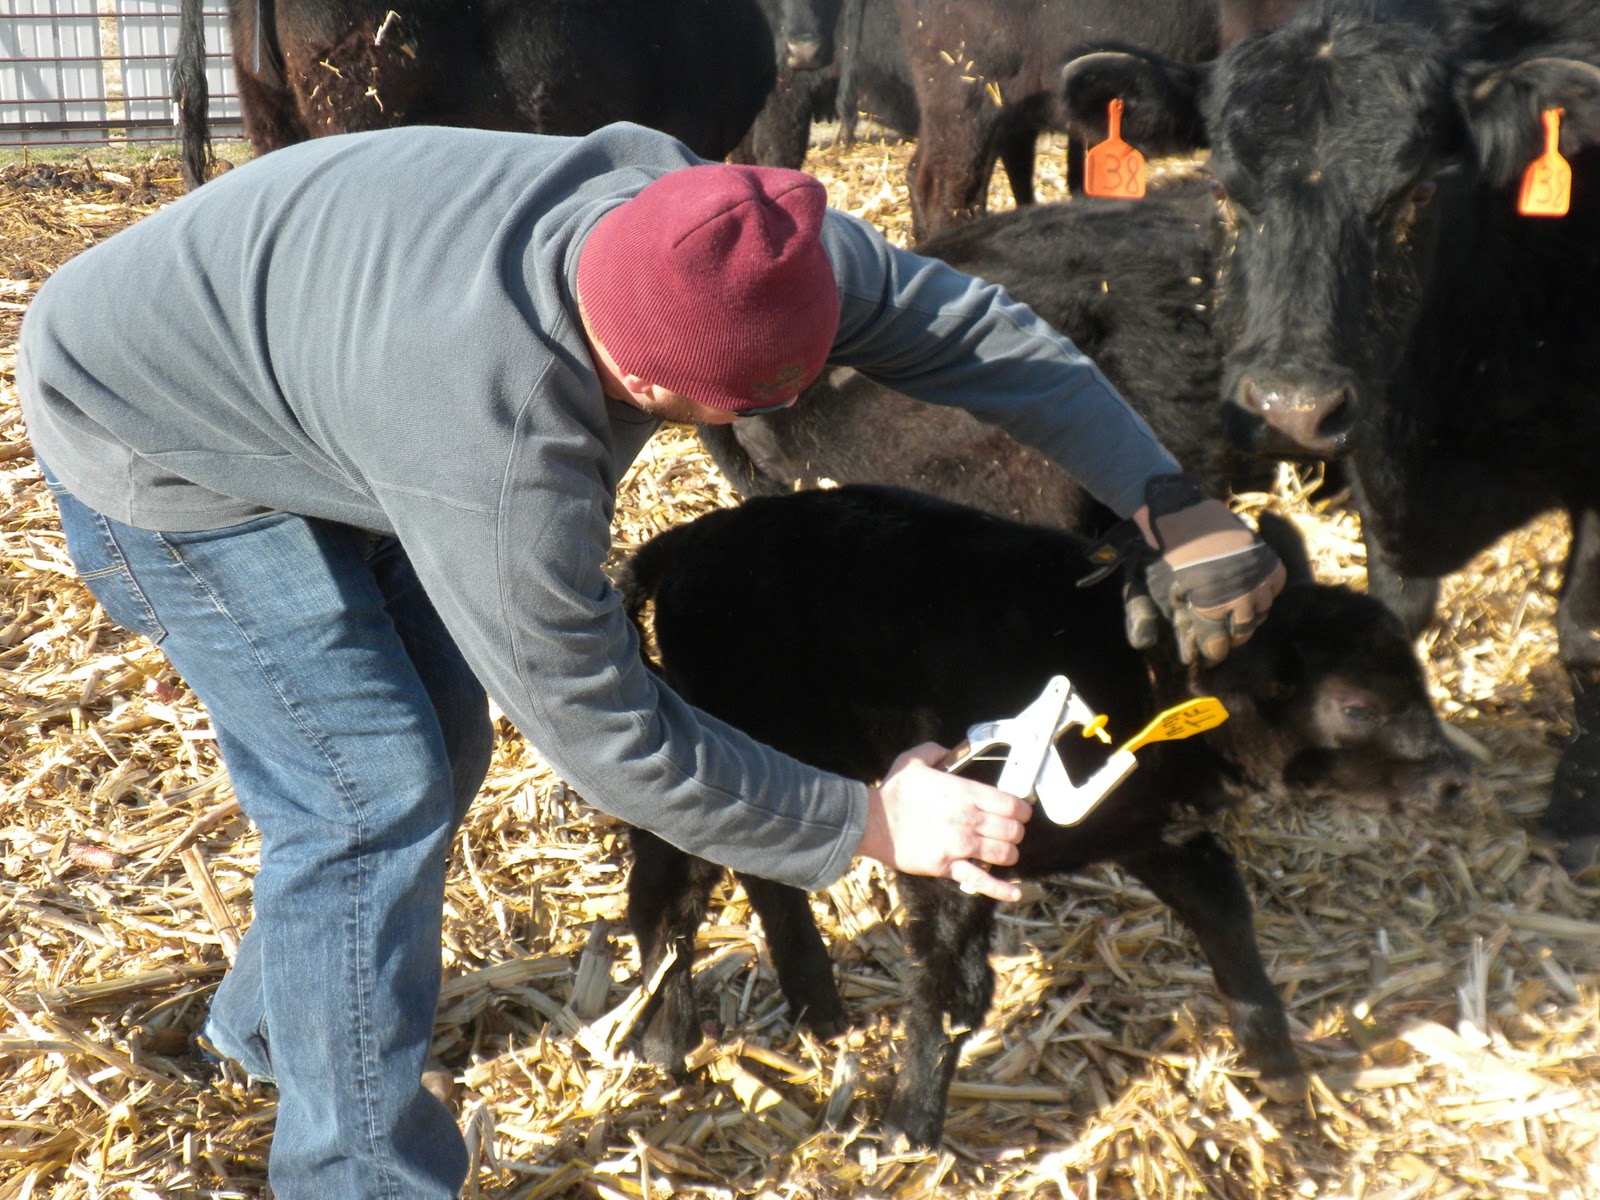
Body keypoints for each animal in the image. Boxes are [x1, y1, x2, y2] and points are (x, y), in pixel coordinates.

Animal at [619, 485, 1467, 1148]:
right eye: (1357, 708)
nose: (1454, 779)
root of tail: (691, 538)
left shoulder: (1163, 833)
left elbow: (1229, 917)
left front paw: (1281, 1073)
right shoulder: (957, 837)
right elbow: (955, 988)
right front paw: (908, 1132)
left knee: (759, 871)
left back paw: (817, 1011)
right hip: (725, 735)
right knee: (672, 878)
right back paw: (669, 1038)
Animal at [1059, 0, 1600, 871]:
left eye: (1416, 192)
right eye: (1224, 188)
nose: (1291, 408)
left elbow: (1583, 635)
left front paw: (1580, 807)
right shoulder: (1378, 452)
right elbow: (1394, 606)